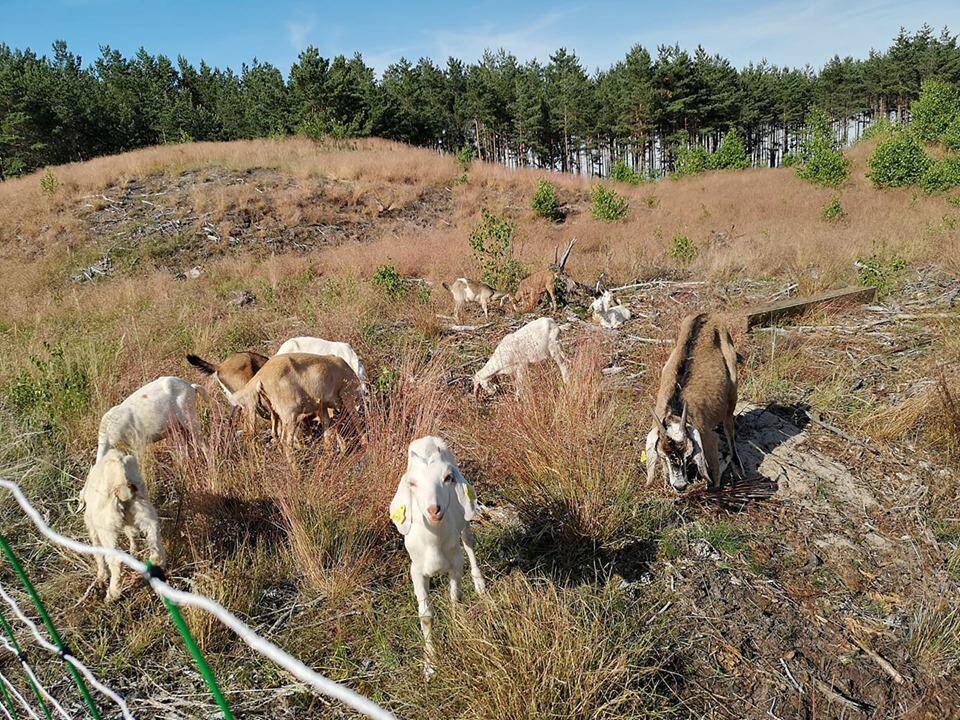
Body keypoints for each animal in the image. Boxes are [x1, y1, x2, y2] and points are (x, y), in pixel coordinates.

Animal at [84, 450, 165, 600]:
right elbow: (132, 533)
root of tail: (122, 484)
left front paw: (101, 576)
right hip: (146, 514)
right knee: (155, 547)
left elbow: (97, 550)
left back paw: (112, 594)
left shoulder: (92, 524)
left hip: (107, 528)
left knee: (115, 559)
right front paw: (134, 550)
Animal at [232, 352, 364, 452]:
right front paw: (365, 445)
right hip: (289, 414)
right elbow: (356, 421)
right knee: (286, 442)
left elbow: (328, 427)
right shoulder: (347, 395)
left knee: (275, 433)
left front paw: (330, 453)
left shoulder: (322, 406)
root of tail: (260, 377)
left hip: (274, 411)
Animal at [388, 436, 488, 676]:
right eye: (412, 484)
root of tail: (427, 439)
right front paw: (430, 664)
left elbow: (455, 599)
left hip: (466, 522)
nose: (434, 509)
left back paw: (479, 583)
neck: (433, 543)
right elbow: (425, 616)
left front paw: (458, 629)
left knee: (469, 543)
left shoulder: (456, 564)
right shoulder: (416, 571)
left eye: (448, 478)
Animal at [644, 312, 744, 492]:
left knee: (729, 427)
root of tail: (706, 315)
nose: (680, 486)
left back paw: (737, 466)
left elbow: (714, 473)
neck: (675, 410)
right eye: (662, 456)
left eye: (688, 454)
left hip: (733, 386)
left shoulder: (708, 437)